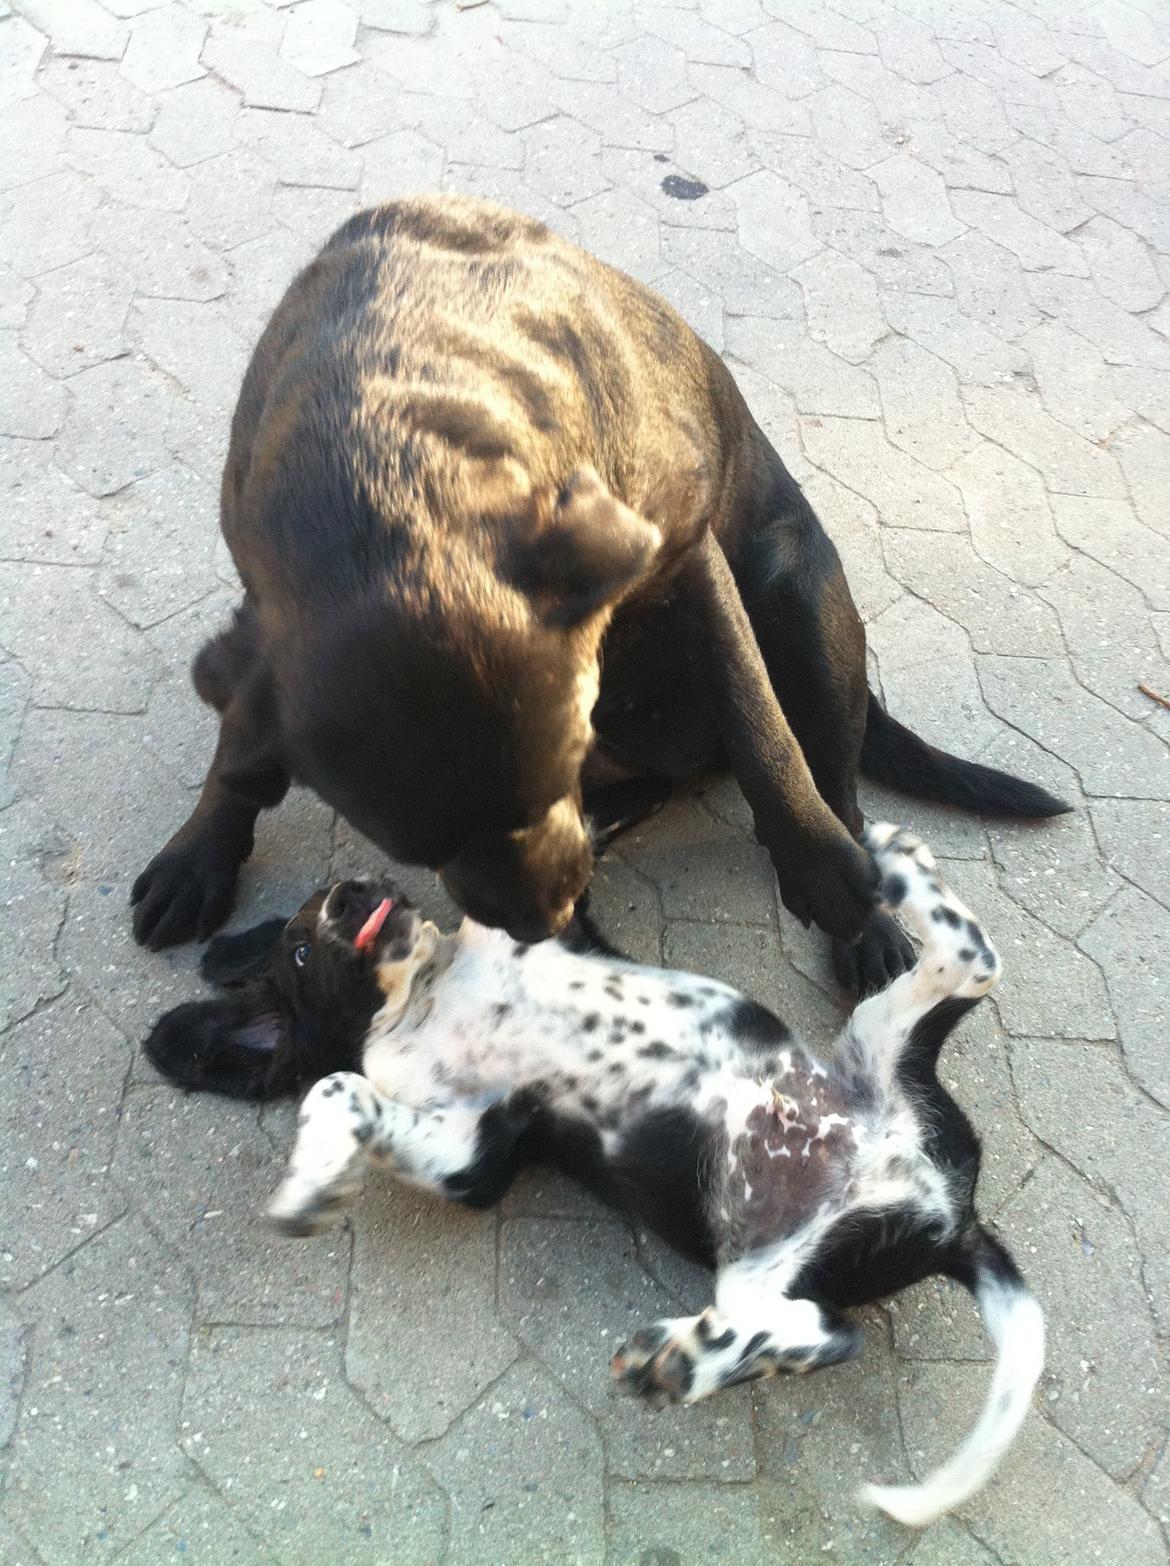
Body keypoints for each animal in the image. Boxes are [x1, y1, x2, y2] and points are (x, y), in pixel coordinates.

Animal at [144, 833, 1046, 1528]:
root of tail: (953, 1219)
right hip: (770, 1239)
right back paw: (687, 1360)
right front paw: (313, 1189)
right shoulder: (475, 1153)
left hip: (869, 1072)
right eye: (302, 953)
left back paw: (903, 861)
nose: (352, 893)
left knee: (975, 961)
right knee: (817, 1331)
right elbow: (338, 1083)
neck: (430, 989)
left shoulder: (540, 939)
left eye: (323, 904)